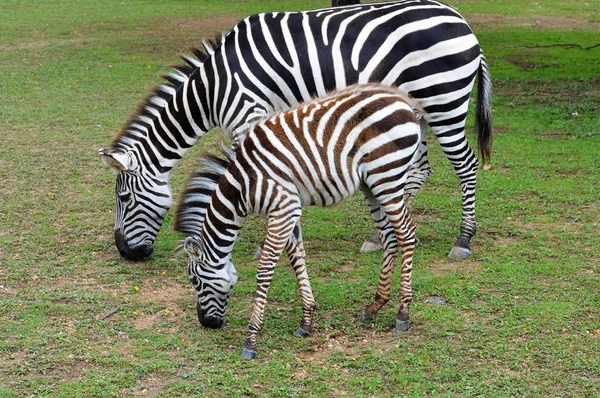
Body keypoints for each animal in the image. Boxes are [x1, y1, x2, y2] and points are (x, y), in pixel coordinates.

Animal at [98, 0, 492, 262]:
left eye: (124, 199)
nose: (126, 253)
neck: (211, 89)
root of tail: (460, 19)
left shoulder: (247, 115)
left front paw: (265, 242)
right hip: (415, 113)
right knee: (419, 170)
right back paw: (379, 235)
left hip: (444, 102)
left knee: (467, 165)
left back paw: (463, 240)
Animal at [176, 85, 424, 360]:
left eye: (194, 281)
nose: (206, 324)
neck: (242, 187)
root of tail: (400, 100)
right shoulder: (288, 211)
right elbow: (297, 260)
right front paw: (306, 321)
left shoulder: (283, 209)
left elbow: (265, 271)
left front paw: (251, 339)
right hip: (372, 185)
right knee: (389, 236)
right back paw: (374, 306)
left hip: (387, 178)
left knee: (407, 234)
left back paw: (403, 312)